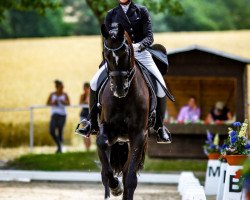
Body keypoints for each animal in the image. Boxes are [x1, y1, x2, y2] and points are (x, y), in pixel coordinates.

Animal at [96, 23, 149, 200]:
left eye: (126, 53)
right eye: (106, 55)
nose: (119, 89)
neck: (122, 100)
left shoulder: (139, 135)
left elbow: (130, 178)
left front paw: (119, 187)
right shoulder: (106, 128)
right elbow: (101, 143)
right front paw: (115, 187)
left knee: (127, 173)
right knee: (105, 172)